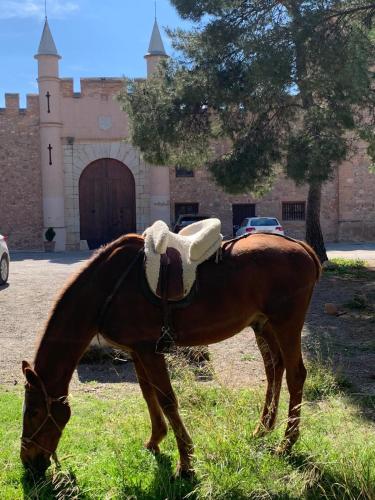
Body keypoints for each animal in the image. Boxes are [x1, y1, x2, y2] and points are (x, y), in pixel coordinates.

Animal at [19, 232, 320, 474]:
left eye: (33, 411)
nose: (28, 461)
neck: (106, 290)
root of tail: (302, 248)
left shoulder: (150, 352)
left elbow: (167, 400)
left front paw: (185, 462)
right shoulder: (138, 352)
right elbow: (148, 394)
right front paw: (155, 440)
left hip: (286, 324)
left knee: (295, 375)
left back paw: (286, 443)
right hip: (263, 325)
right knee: (274, 369)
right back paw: (263, 429)